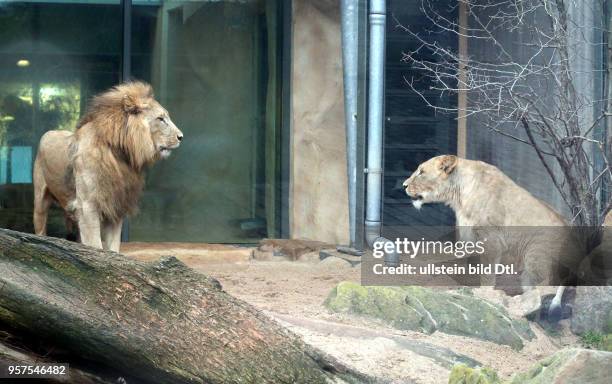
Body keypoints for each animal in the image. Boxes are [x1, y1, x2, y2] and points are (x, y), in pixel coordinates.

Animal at [34, 81, 183, 252]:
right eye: (161, 119)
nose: (181, 137)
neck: (121, 156)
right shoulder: (87, 205)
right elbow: (95, 244)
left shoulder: (116, 204)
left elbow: (113, 246)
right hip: (40, 201)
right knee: (40, 228)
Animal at [402, 155, 584, 318]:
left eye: (421, 172)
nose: (404, 186)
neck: (459, 195)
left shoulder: (492, 239)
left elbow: (487, 274)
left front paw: (485, 294)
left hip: (536, 258)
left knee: (546, 288)